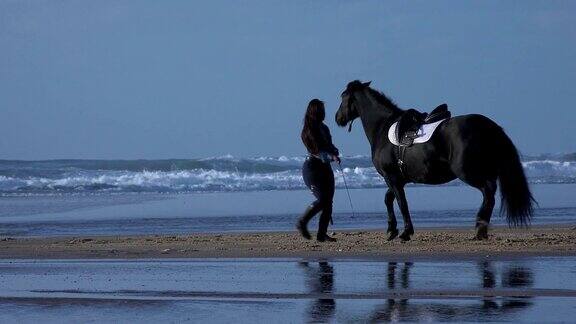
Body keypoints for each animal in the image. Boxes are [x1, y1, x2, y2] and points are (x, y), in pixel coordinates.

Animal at [336, 81, 532, 240]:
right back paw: (481, 229)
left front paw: (405, 232)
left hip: (468, 172)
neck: (383, 128)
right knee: (489, 194)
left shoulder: (391, 177)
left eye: (343, 97)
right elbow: (389, 199)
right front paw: (392, 230)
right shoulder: (397, 179)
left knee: (488, 192)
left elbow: (401, 203)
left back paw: (479, 228)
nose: (338, 118)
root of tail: (490, 126)